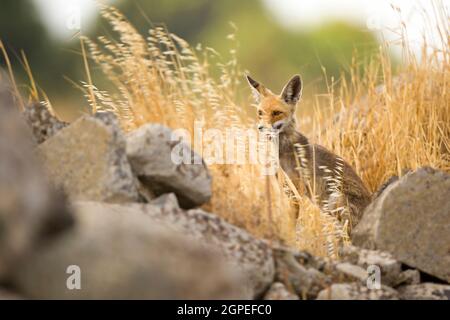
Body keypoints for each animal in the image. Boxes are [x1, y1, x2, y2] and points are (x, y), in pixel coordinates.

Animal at [246, 74, 370, 231]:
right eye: (260, 113)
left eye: (276, 113)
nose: (261, 128)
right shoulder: (285, 189)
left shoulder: (295, 192)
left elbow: (292, 223)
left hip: (334, 200)